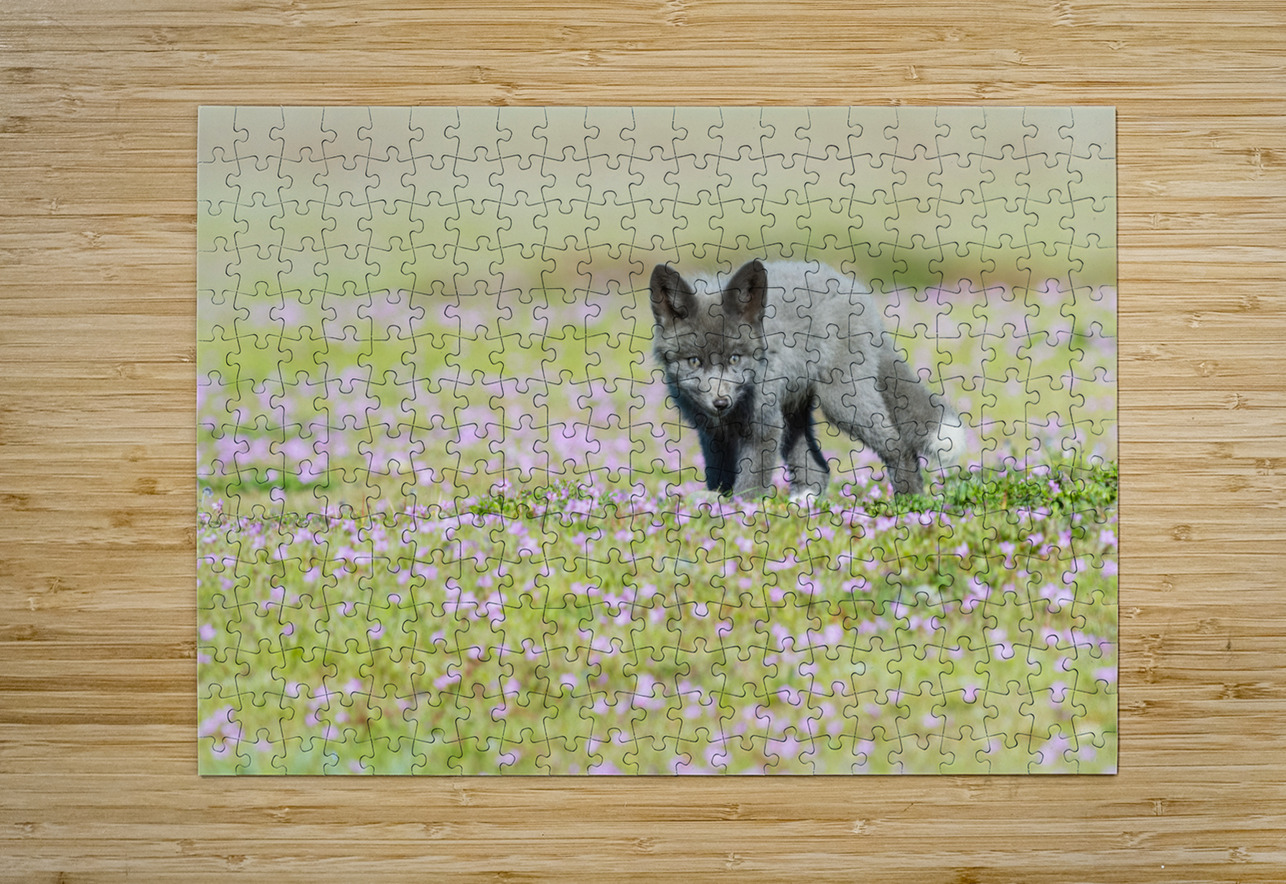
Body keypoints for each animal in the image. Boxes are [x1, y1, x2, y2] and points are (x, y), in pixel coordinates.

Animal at [648, 258, 965, 499]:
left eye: (735, 359)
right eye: (694, 361)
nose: (720, 402)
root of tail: (853, 289)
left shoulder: (764, 426)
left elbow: (751, 480)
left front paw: (742, 511)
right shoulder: (713, 434)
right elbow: (719, 474)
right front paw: (717, 502)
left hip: (841, 402)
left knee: (898, 445)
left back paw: (910, 503)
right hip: (795, 416)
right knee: (819, 469)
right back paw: (804, 503)